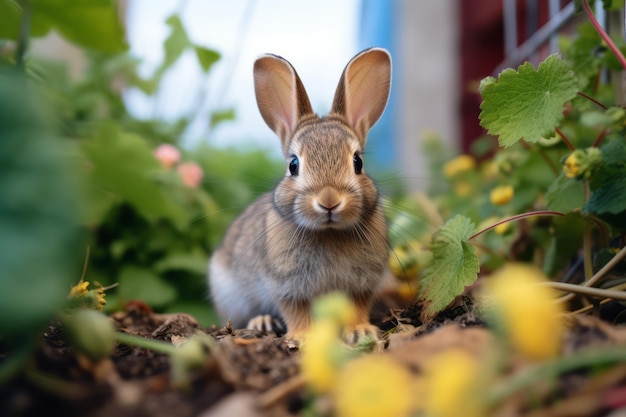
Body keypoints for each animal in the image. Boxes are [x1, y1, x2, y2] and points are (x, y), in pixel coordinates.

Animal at [212, 47, 392, 342]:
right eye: (293, 165)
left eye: (358, 162)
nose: (329, 201)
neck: (328, 233)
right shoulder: (286, 284)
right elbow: (295, 310)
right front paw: (303, 337)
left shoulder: (362, 283)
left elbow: (356, 308)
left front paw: (360, 332)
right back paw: (262, 322)